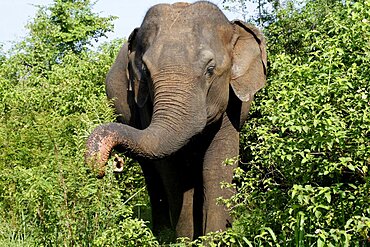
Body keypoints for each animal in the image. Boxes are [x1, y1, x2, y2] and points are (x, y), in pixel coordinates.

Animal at [86, 1, 266, 241]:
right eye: (145, 71)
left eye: (210, 69)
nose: (108, 164)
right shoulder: (145, 106)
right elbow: (173, 174)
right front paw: (184, 242)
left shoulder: (231, 104)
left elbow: (218, 167)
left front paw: (214, 240)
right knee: (152, 176)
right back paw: (161, 234)